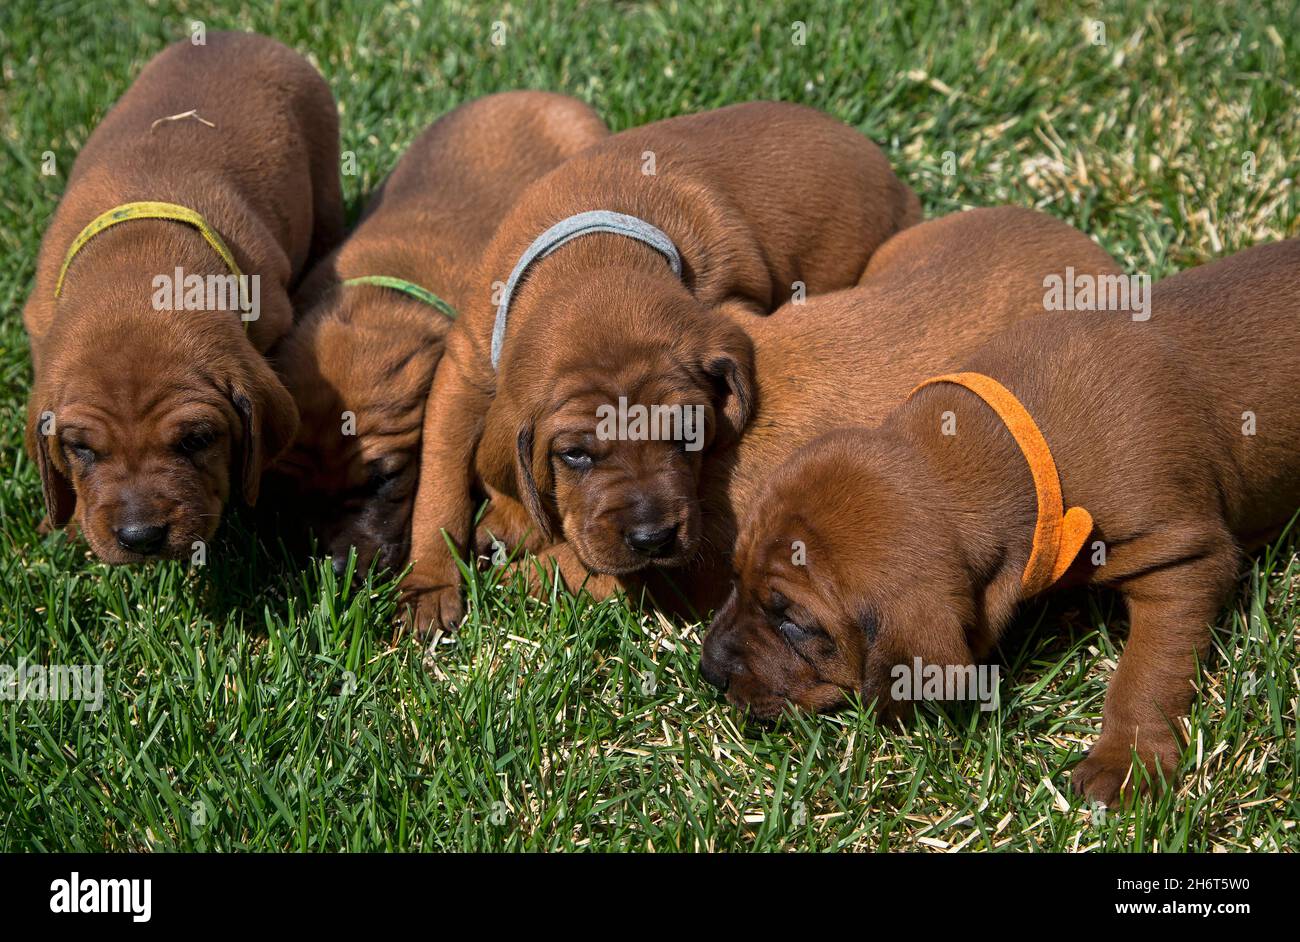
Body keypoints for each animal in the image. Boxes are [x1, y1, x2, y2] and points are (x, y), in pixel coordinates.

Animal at [24, 33, 343, 561]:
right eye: (81, 448)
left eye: (197, 440)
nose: (140, 538)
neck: (137, 264)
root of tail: (237, 34)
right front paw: (67, 522)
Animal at [707, 236, 1300, 800]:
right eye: (733, 578)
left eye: (795, 623)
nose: (707, 669)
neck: (1021, 445)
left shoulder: (1184, 560)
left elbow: (1148, 673)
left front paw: (1124, 762)